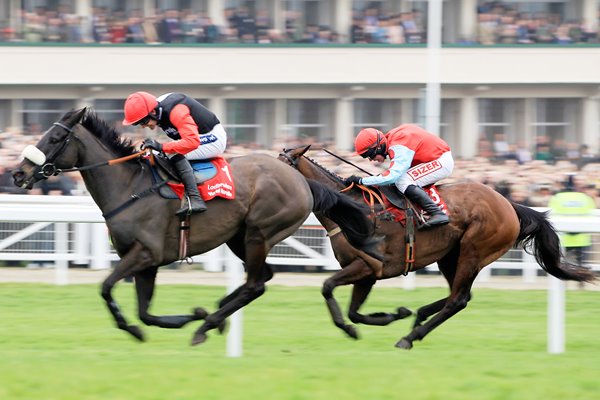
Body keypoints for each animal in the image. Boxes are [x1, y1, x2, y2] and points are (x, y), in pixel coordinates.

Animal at [10, 110, 376, 346]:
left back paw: (209, 325)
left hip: (259, 232)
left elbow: (106, 288)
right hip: (239, 237)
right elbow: (145, 312)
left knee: (255, 285)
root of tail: (301, 180)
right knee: (261, 278)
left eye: (56, 137)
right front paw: (182, 317)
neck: (130, 187)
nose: (17, 173)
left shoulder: (145, 254)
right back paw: (215, 317)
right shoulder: (147, 262)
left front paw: (141, 327)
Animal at [278, 146, 596, 350]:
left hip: (474, 250)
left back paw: (410, 337)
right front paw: (391, 315)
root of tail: (509, 203)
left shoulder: (368, 265)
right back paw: (418, 316)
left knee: (458, 299)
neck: (353, 211)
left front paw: (354, 326)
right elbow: (354, 311)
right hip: (450, 256)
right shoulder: (367, 272)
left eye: (280, 165)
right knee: (460, 294)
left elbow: (328, 287)